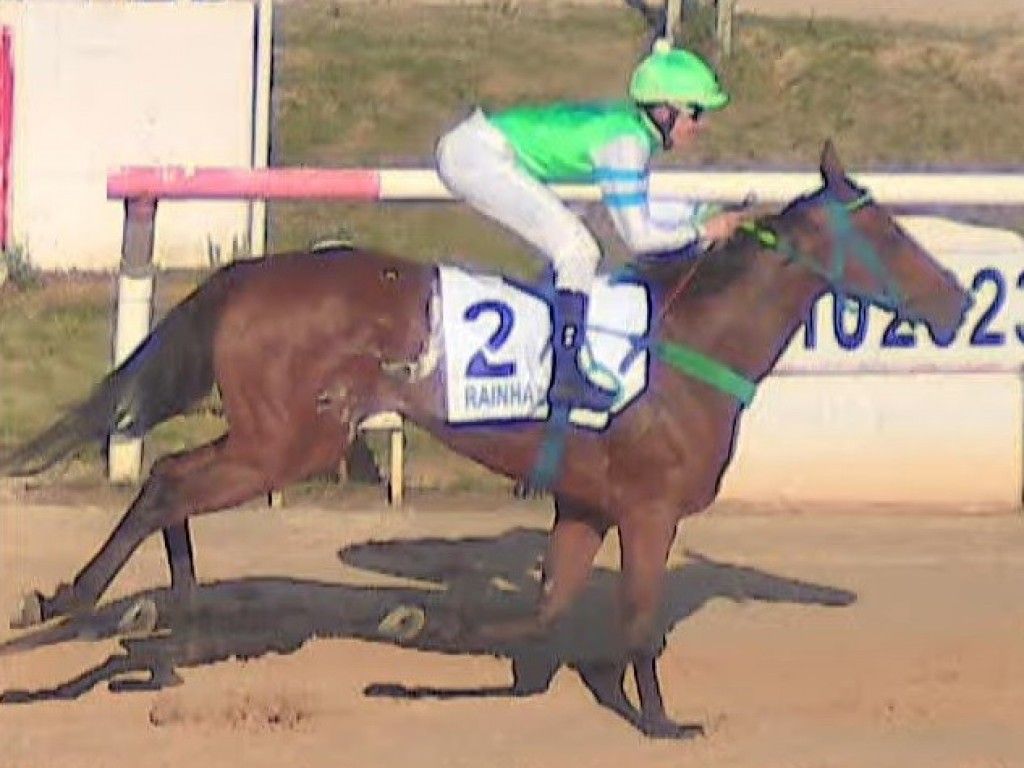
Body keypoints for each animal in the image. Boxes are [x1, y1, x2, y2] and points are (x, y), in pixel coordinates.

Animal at [4, 144, 970, 741]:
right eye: (890, 234)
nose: (959, 300)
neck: (689, 343)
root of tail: (247, 274)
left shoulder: (587, 505)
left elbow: (541, 612)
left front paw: (422, 622)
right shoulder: (650, 509)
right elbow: (638, 621)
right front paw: (662, 720)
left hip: (281, 437)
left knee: (174, 480)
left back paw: (169, 619)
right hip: (291, 441)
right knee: (169, 479)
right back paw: (85, 602)